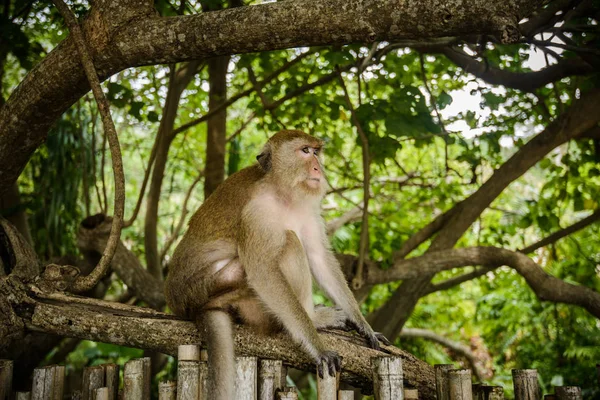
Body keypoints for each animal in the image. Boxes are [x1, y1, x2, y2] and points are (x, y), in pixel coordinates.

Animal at [165, 130, 390, 398]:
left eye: (317, 152)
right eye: (305, 151)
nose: (318, 167)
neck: (283, 193)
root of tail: (190, 307)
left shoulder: (307, 206)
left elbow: (319, 257)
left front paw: (364, 325)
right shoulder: (257, 213)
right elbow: (264, 272)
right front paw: (317, 346)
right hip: (231, 292)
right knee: (289, 242)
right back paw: (313, 319)